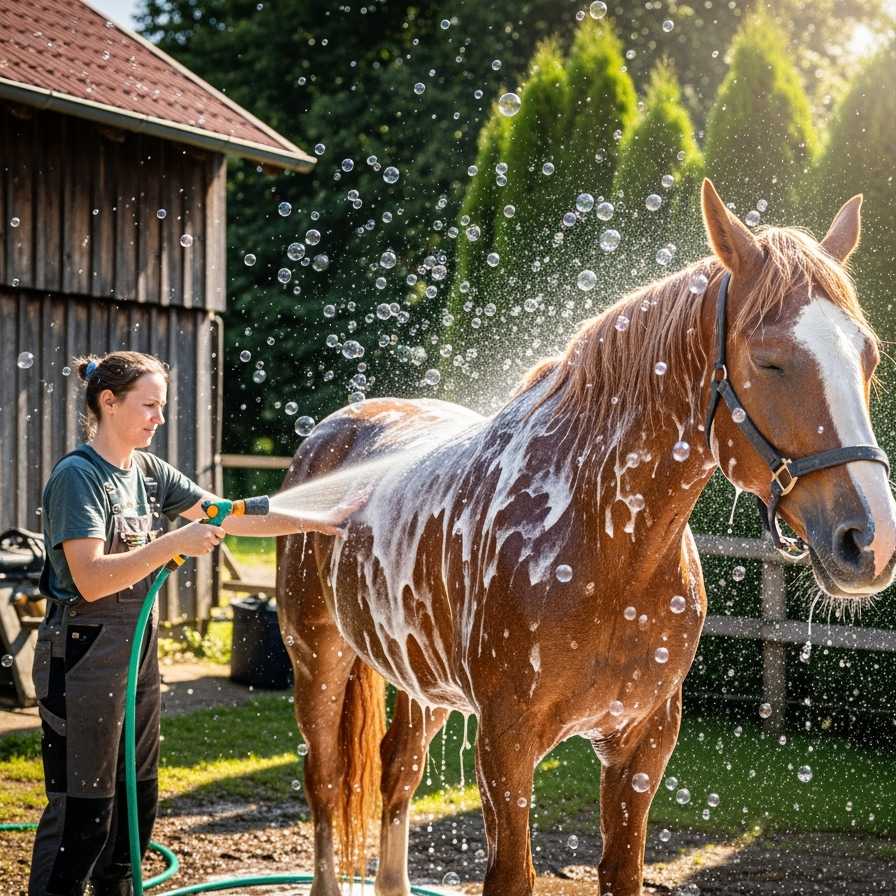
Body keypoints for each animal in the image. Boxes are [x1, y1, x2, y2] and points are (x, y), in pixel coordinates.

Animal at [275, 179, 896, 896]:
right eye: (769, 361)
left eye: (868, 357)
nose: (871, 541)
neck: (605, 548)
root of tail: (335, 430)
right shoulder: (505, 747)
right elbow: (511, 874)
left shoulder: (643, 743)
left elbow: (621, 869)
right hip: (317, 659)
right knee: (324, 782)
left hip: (421, 679)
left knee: (397, 770)